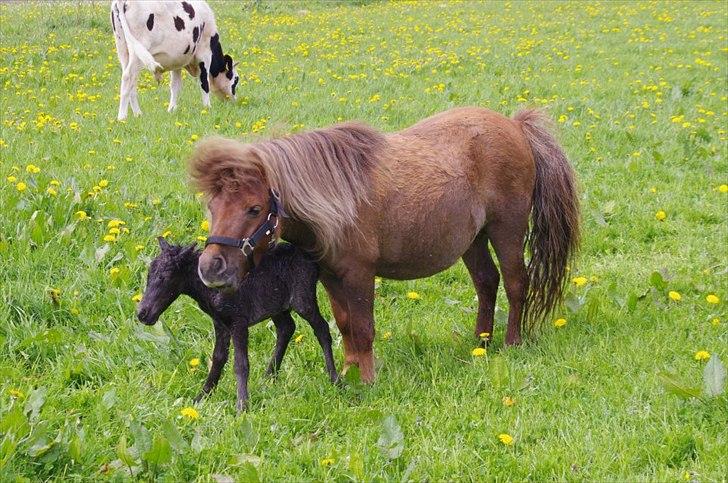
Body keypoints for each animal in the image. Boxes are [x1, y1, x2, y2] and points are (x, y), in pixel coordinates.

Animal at [111, 0, 240, 120]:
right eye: (236, 79)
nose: (234, 101)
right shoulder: (205, 55)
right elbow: (204, 82)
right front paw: (207, 107)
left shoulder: (176, 61)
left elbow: (175, 86)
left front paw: (171, 109)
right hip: (138, 50)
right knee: (128, 76)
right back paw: (122, 117)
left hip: (123, 49)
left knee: (131, 81)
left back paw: (138, 114)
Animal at [137, 238, 338, 412]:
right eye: (149, 274)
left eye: (165, 277)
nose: (142, 313)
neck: (208, 290)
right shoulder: (220, 323)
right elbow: (218, 358)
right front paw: (202, 397)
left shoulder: (238, 321)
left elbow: (241, 364)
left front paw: (242, 406)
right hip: (276, 305)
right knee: (287, 328)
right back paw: (269, 377)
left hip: (302, 298)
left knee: (322, 328)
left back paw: (335, 379)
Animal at [188, 108, 580, 384]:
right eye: (212, 206)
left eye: (254, 208)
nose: (210, 268)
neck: (336, 197)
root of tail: (516, 126)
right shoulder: (330, 276)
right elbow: (345, 325)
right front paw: (347, 373)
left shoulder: (359, 275)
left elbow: (363, 329)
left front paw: (367, 380)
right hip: (473, 240)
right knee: (487, 282)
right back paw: (480, 344)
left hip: (506, 232)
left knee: (515, 284)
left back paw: (512, 343)